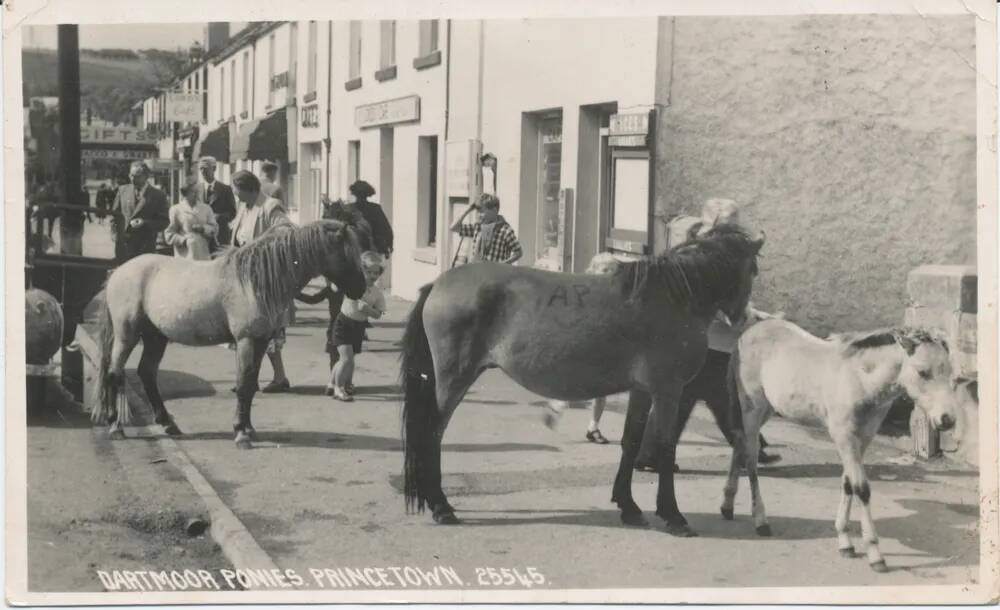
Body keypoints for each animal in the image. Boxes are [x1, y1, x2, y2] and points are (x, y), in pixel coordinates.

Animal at [400, 222, 764, 532]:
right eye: (753, 270)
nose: (742, 317)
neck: (671, 298)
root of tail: (439, 284)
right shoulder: (668, 390)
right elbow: (665, 446)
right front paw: (672, 514)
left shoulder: (643, 390)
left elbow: (631, 441)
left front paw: (628, 506)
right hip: (454, 379)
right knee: (432, 434)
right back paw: (441, 505)